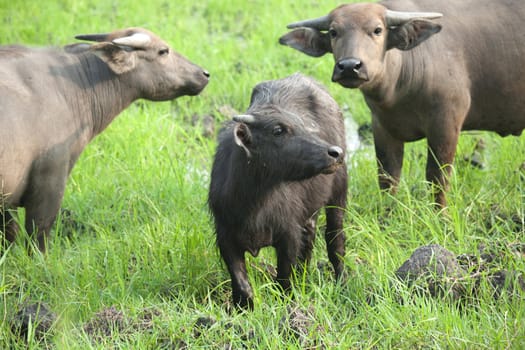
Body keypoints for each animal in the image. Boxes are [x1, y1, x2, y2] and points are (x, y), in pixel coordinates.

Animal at [0, 27, 209, 252]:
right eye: (163, 51)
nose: (205, 74)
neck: (71, 85)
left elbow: (9, 235)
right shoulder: (50, 179)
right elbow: (38, 235)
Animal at [207, 73, 346, 308]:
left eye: (303, 125)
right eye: (278, 130)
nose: (335, 153)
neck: (254, 204)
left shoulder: (288, 235)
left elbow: (284, 275)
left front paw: (287, 300)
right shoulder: (225, 236)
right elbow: (240, 281)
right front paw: (242, 306)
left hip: (339, 193)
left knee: (335, 239)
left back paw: (342, 280)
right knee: (310, 239)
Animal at [280, 0, 524, 206]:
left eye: (377, 30)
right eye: (333, 32)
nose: (349, 66)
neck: (397, 91)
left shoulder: (446, 123)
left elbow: (437, 177)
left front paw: (441, 216)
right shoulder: (382, 127)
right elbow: (388, 177)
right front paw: (387, 215)